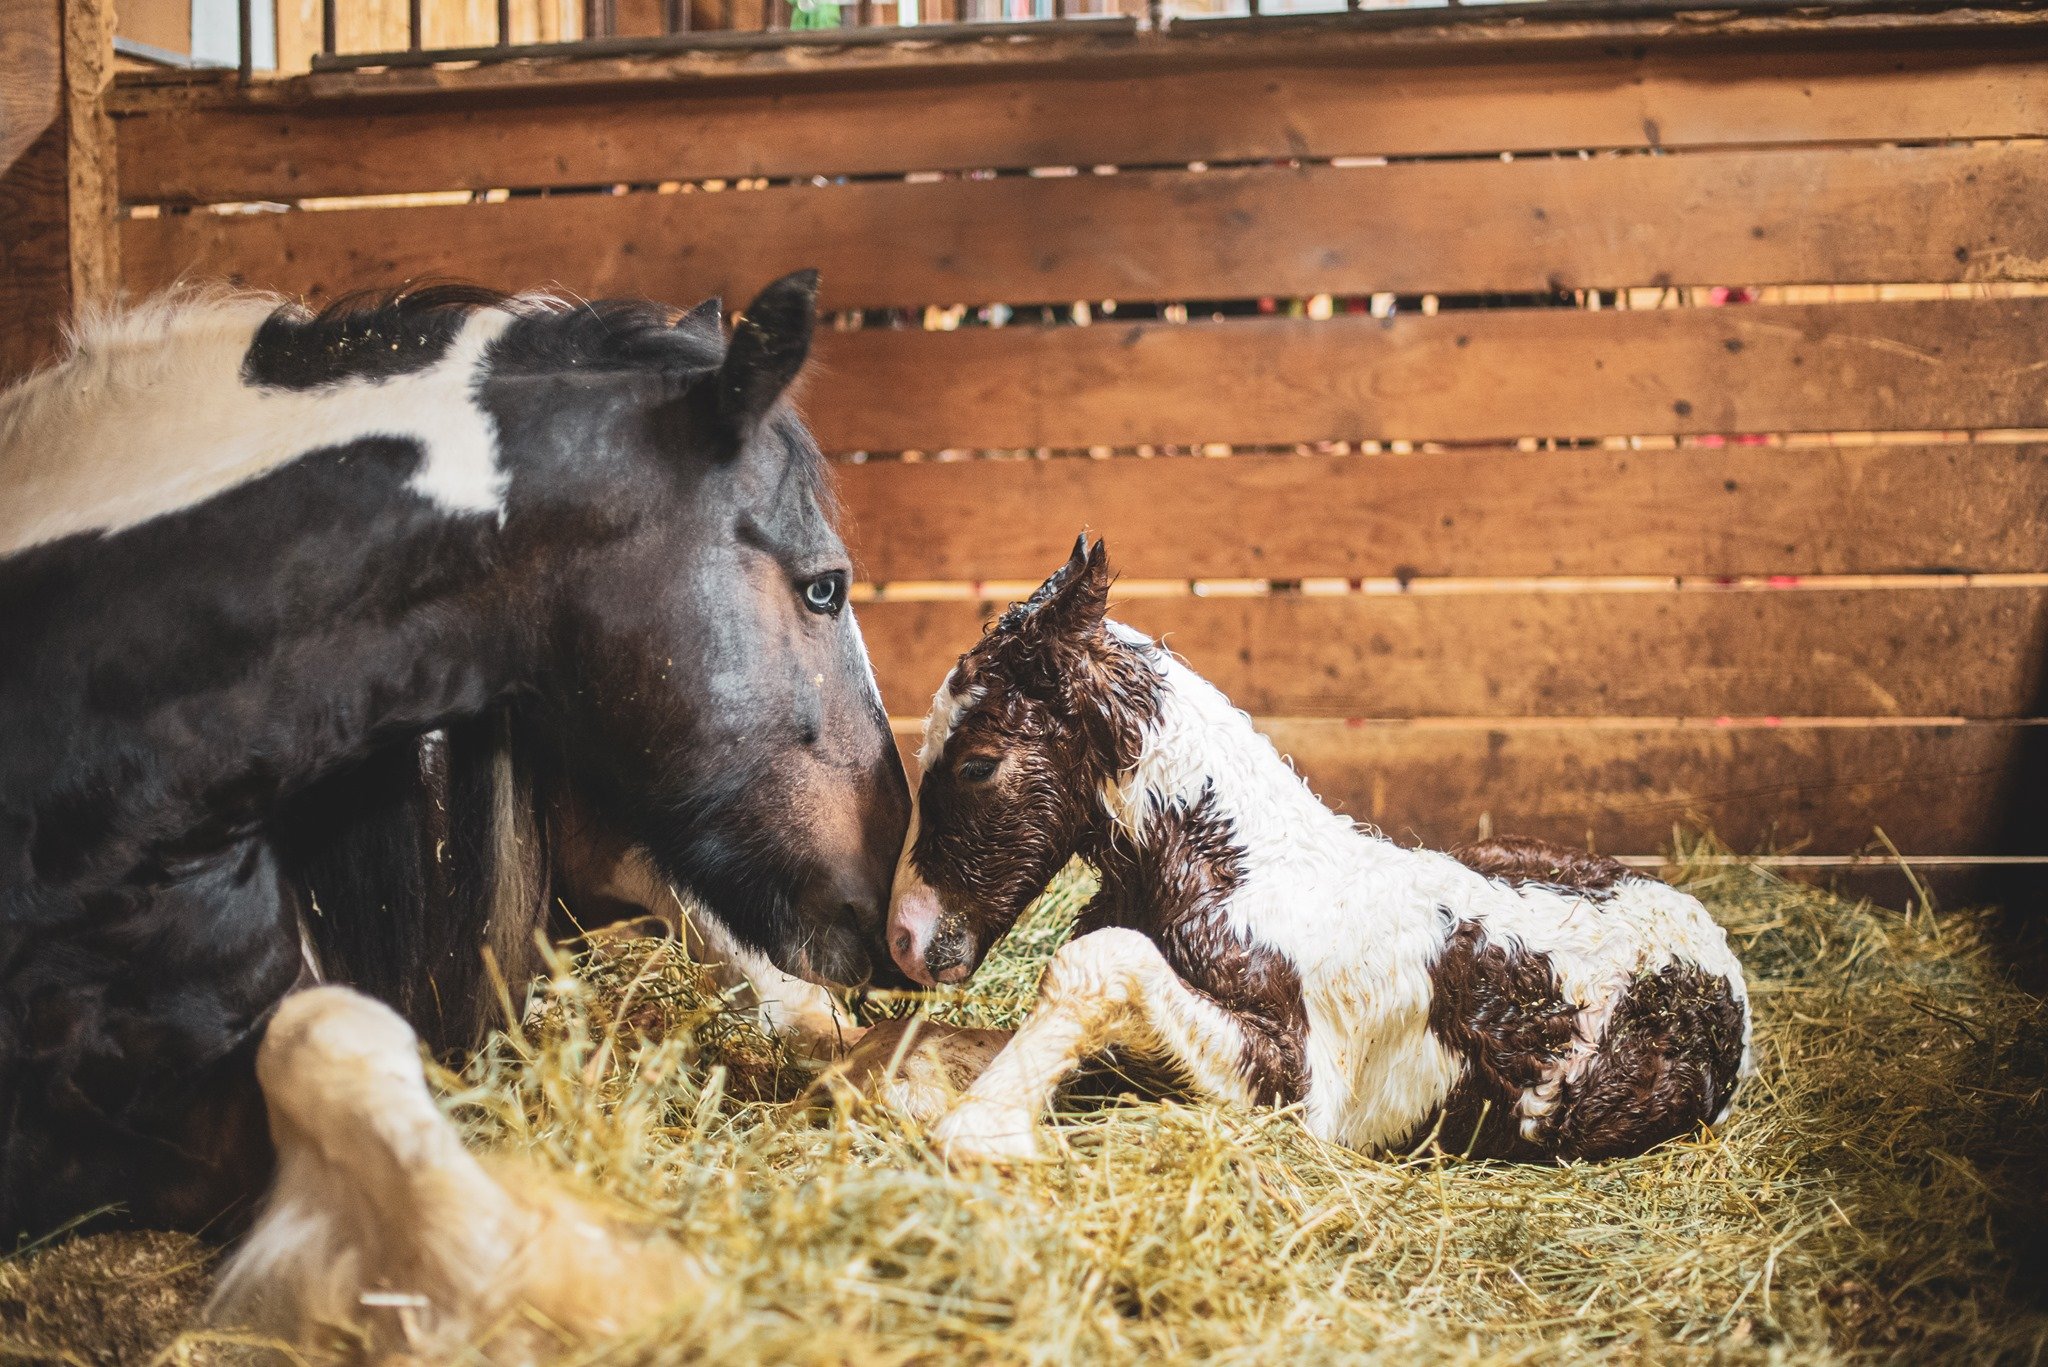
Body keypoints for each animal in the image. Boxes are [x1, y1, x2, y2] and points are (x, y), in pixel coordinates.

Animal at [885, 538, 1752, 1167]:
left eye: (977, 763)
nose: (904, 936)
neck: (1244, 877)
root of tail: (1712, 946)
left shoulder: (1304, 1091)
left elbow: (1098, 962)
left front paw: (980, 1128)